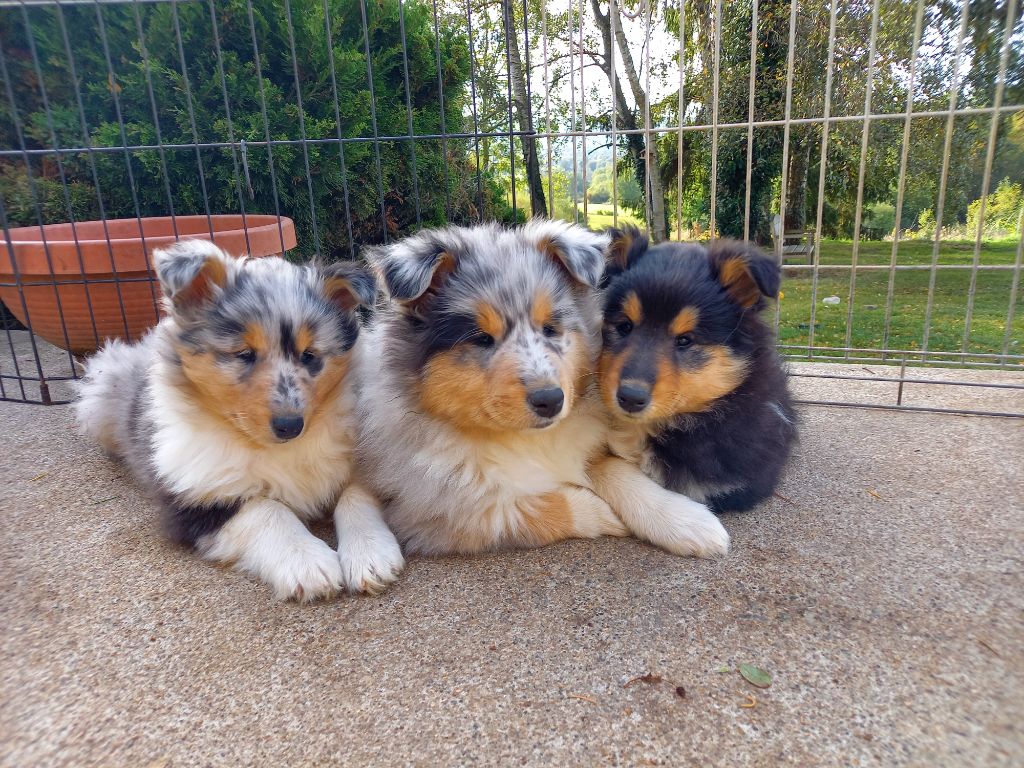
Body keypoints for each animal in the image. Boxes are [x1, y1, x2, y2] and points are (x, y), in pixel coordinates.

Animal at [74, 240, 403, 602]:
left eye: (309, 355)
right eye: (244, 354)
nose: (290, 426)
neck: (271, 448)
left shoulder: (363, 462)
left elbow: (356, 495)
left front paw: (371, 555)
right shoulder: (196, 500)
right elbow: (266, 510)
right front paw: (309, 564)